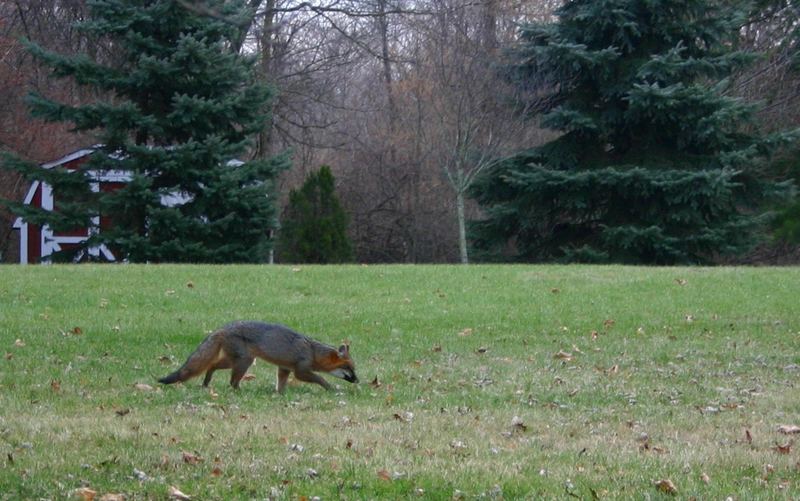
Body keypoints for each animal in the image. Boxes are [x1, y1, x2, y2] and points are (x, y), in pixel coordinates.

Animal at [158, 322, 358, 392]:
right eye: (349, 369)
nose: (358, 381)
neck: (313, 351)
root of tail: (223, 328)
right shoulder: (301, 372)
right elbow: (319, 379)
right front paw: (330, 388)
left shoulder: (284, 369)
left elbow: (281, 384)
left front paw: (280, 394)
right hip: (243, 362)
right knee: (232, 382)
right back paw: (239, 391)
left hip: (234, 361)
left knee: (211, 366)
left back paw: (206, 384)